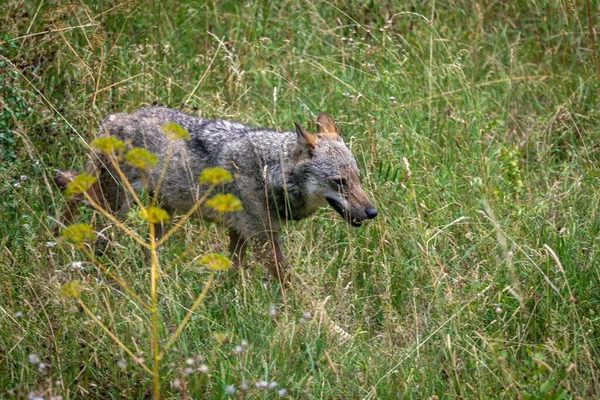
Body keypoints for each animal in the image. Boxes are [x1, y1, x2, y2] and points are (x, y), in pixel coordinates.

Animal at [54, 105, 378, 332]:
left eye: (358, 179)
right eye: (339, 182)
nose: (372, 212)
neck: (269, 170)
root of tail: (114, 117)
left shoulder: (240, 235)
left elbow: (231, 276)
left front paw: (224, 306)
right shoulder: (264, 243)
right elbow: (304, 294)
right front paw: (340, 334)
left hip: (155, 215)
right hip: (114, 205)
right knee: (73, 194)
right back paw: (60, 242)